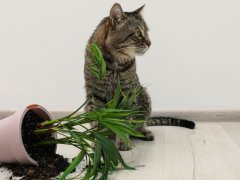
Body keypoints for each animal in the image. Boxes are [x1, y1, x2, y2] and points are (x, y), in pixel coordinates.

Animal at [84, 3, 195, 151]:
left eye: (147, 31)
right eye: (138, 34)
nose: (150, 43)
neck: (114, 62)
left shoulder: (128, 93)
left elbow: (124, 122)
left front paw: (123, 141)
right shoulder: (95, 94)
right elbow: (100, 122)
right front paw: (100, 143)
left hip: (143, 94)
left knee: (139, 124)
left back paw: (144, 132)